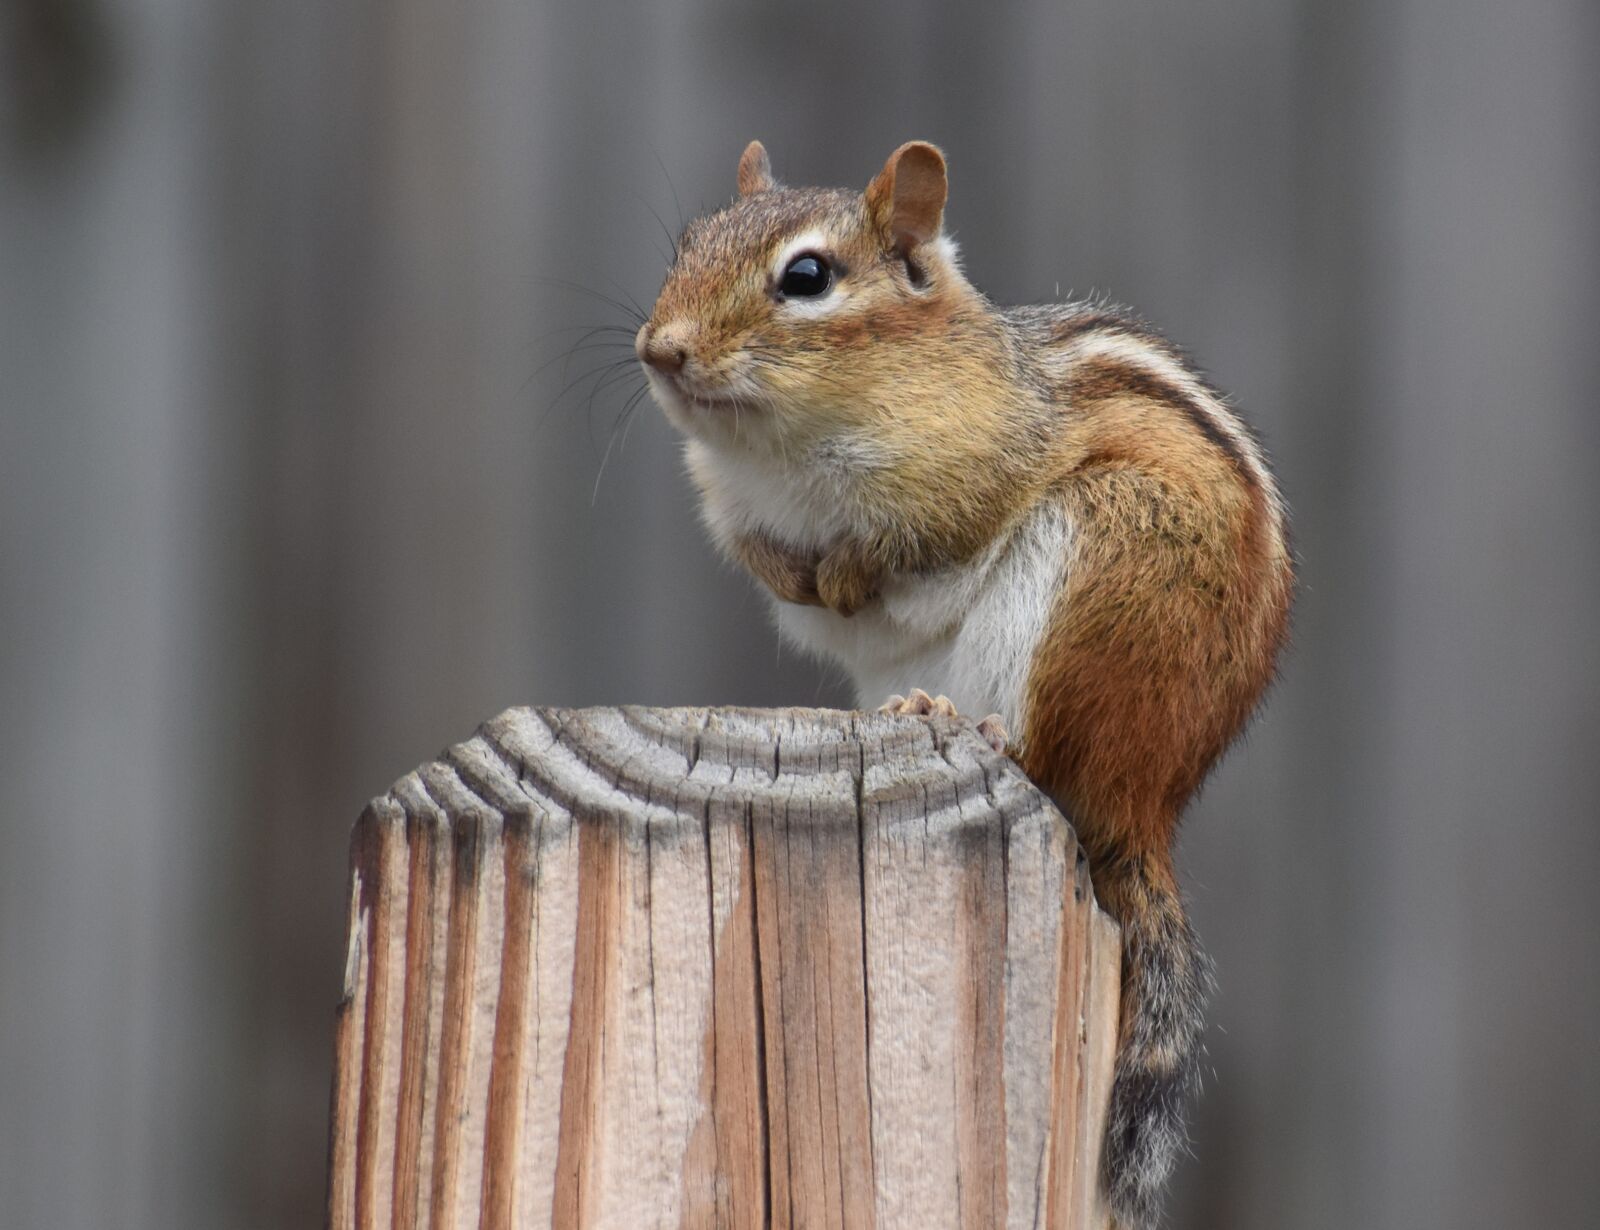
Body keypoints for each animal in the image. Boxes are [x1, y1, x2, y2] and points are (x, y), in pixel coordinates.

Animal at [636, 139, 1294, 1229]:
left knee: (1040, 757)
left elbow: (923, 538)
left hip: (1094, 562)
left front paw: (850, 571)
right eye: (685, 244)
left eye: (806, 277)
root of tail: (1148, 801)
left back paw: (958, 720)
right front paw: (801, 576)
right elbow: (765, 560)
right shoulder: (730, 503)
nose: (659, 350)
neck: (781, 450)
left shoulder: (979, 467)